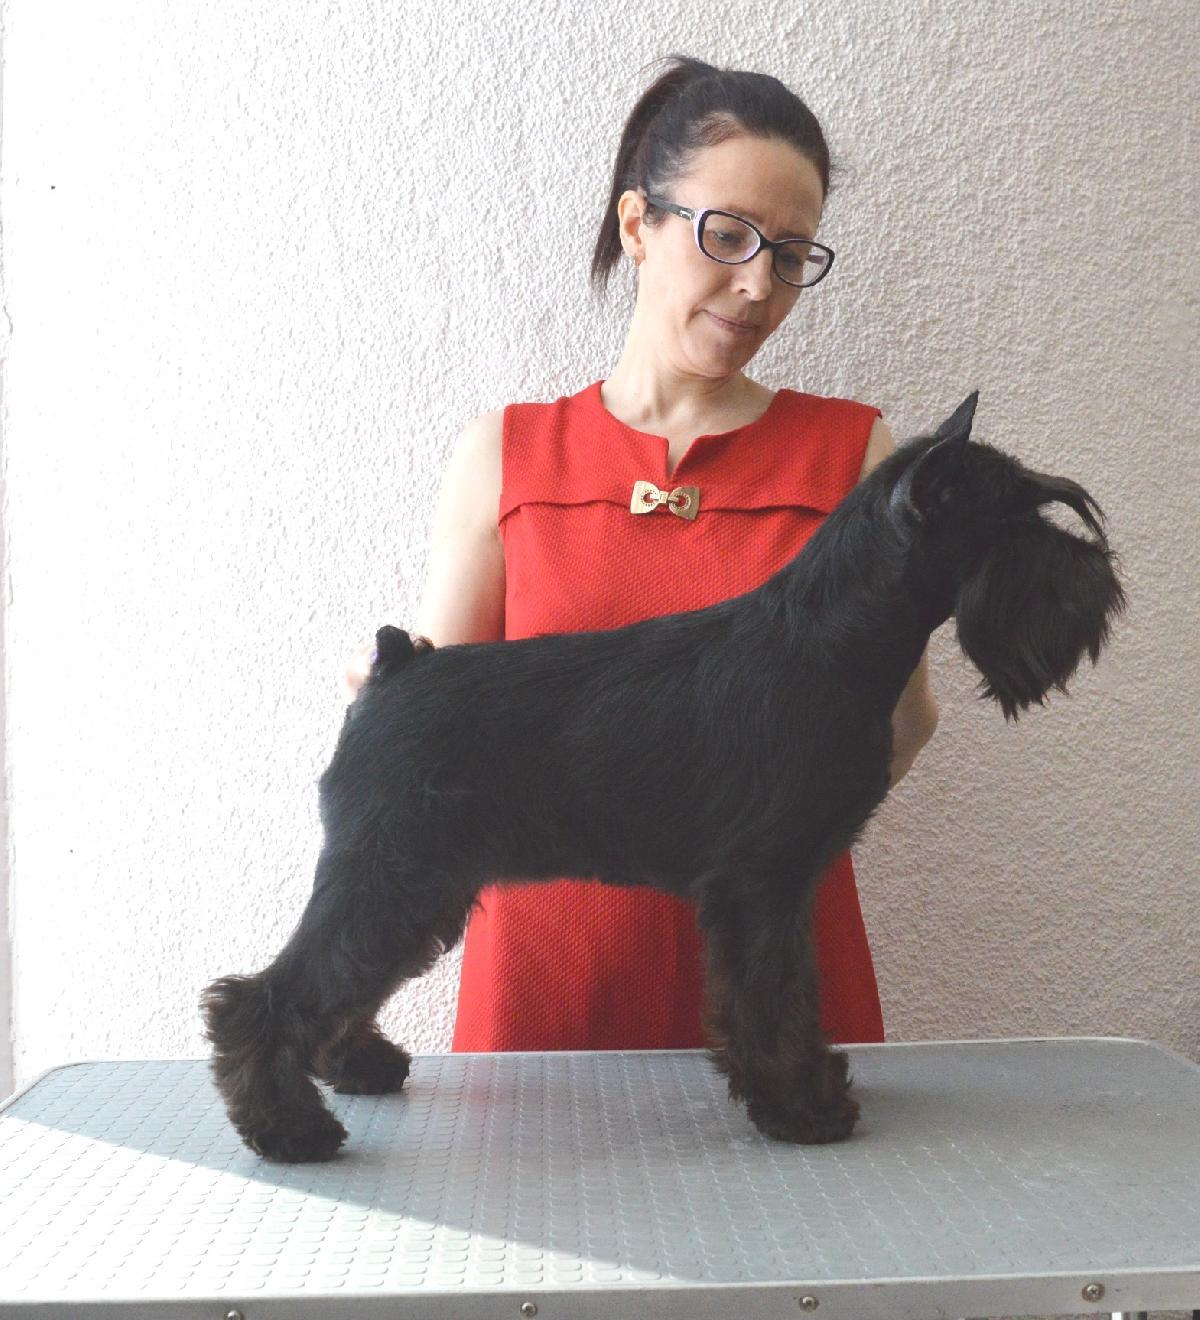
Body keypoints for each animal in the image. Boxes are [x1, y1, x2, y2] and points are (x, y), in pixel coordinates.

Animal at [202, 392, 1125, 1162]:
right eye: (1011, 522)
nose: (1101, 581)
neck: (832, 638)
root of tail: (396, 666)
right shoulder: (758, 884)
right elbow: (768, 998)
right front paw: (801, 1109)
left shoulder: (785, 886)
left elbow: (795, 993)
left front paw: (811, 1084)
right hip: (391, 874)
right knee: (268, 996)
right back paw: (289, 1127)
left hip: (413, 887)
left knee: (342, 982)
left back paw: (357, 1066)